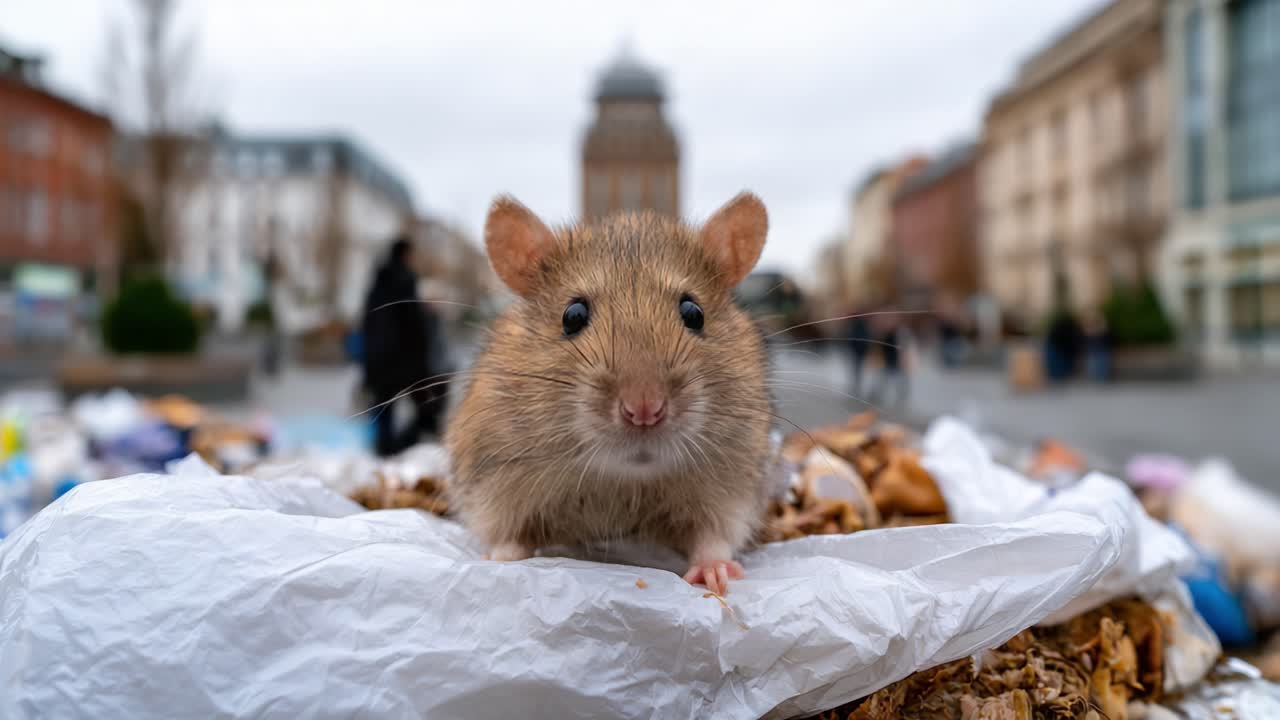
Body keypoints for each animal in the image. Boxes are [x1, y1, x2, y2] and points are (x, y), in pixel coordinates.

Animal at [446, 192, 774, 595]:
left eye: (693, 312)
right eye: (572, 315)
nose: (645, 410)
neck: (620, 479)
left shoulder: (730, 490)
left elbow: (712, 536)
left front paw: (716, 570)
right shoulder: (493, 482)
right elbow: (508, 535)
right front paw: (499, 561)